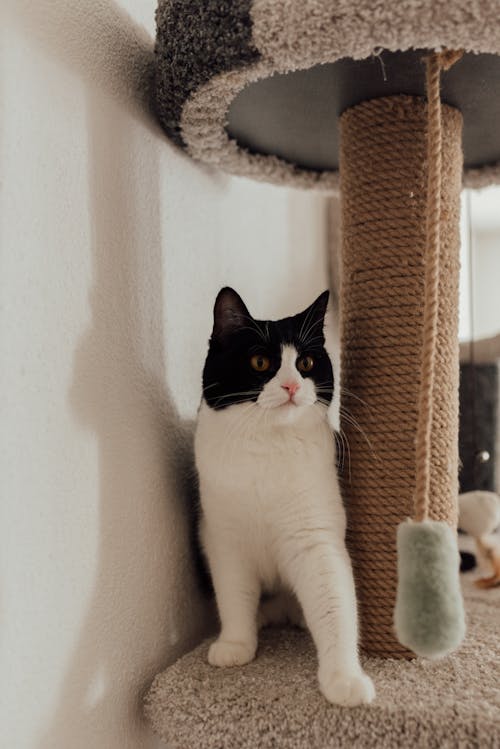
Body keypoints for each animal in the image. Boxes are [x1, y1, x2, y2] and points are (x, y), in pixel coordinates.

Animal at [195, 286, 376, 708]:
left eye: (306, 362)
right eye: (261, 362)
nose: (292, 386)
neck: (268, 447)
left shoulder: (315, 539)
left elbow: (334, 603)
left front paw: (344, 680)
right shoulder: (224, 540)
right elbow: (233, 593)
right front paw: (235, 645)